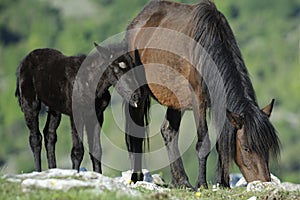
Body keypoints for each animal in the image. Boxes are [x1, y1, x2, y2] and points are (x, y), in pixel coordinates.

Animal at [123, 0, 278, 188]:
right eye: (246, 148)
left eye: (267, 147)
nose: (265, 183)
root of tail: (136, 22)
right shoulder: (199, 101)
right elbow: (203, 144)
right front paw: (202, 184)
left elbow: (220, 145)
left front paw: (223, 184)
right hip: (139, 94)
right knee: (136, 135)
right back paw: (137, 178)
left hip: (176, 99)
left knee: (168, 132)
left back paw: (181, 181)